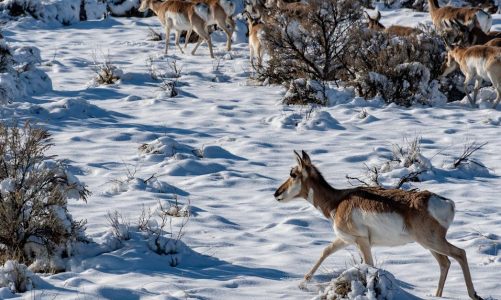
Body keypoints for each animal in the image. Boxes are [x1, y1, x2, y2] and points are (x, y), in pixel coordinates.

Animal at [276, 152, 482, 300]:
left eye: (293, 174)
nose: (276, 193)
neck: (337, 201)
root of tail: (446, 202)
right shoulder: (345, 240)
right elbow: (325, 251)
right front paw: (302, 284)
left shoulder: (362, 241)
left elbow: (369, 266)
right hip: (429, 244)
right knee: (445, 262)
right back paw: (437, 296)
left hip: (431, 241)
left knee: (460, 253)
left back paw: (473, 294)